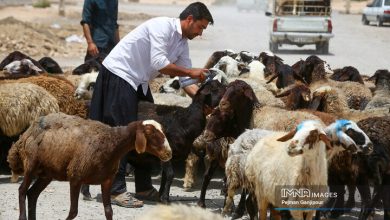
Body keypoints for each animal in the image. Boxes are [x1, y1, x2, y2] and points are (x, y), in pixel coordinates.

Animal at [6, 113, 171, 220]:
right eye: (150, 133)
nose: (169, 153)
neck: (112, 143)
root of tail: (27, 132)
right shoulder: (75, 177)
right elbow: (73, 212)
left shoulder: (107, 181)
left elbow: (109, 211)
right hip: (31, 165)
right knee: (22, 191)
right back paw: (22, 216)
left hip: (46, 174)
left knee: (32, 194)